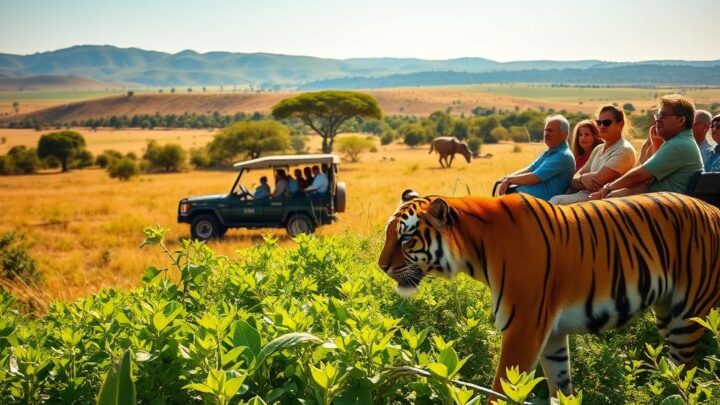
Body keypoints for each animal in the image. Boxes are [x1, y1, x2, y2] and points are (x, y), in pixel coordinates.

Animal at [378, 191, 720, 399]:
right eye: (387, 234)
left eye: (406, 239)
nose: (381, 266)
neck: (476, 251)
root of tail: (713, 208)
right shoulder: (552, 334)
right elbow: (560, 385)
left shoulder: (523, 327)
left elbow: (503, 389)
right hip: (666, 314)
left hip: (687, 318)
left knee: (686, 372)